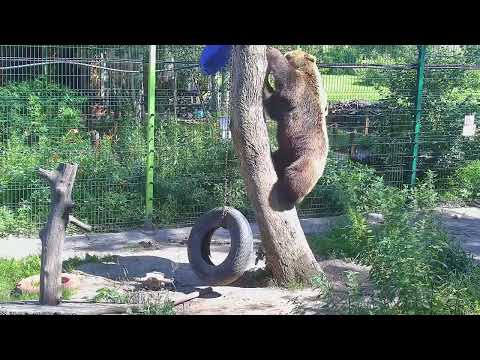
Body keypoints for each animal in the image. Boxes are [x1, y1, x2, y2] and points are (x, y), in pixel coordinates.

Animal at [262, 48, 330, 211]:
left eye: (290, 54)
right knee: (277, 158)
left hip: (305, 160)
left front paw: (271, 52)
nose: (288, 52)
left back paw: (289, 196)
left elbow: (287, 83)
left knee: (295, 178)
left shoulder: (300, 91)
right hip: (287, 152)